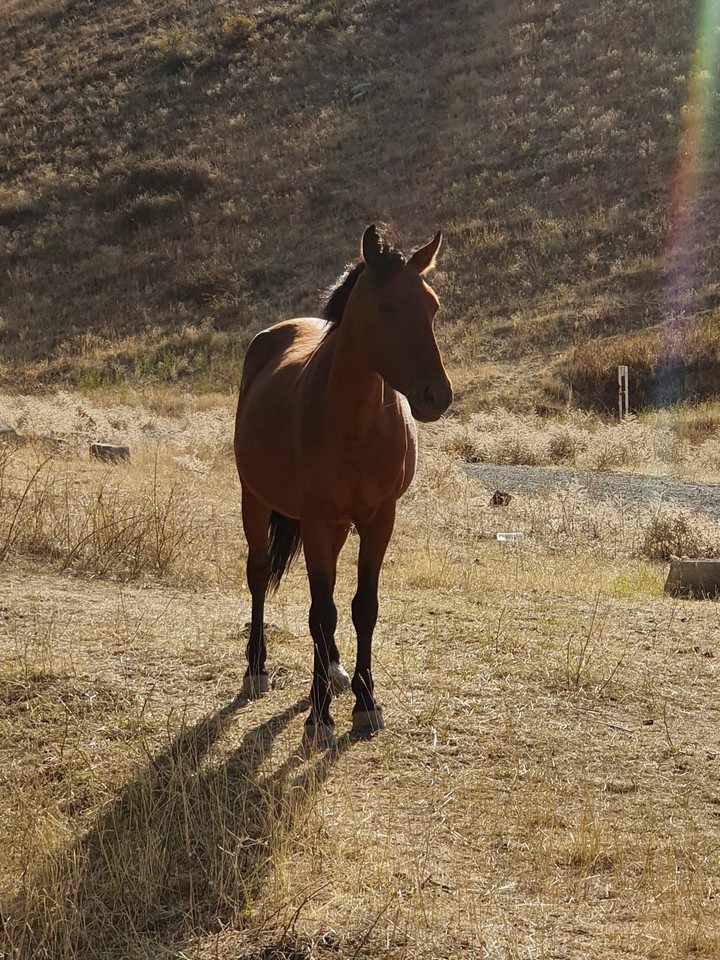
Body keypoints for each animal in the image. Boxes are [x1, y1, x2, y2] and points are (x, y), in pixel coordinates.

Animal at [233, 224, 453, 748]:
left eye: (432, 306)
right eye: (389, 307)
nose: (437, 395)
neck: (355, 423)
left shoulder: (378, 520)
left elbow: (361, 607)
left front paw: (365, 701)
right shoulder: (314, 520)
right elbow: (322, 612)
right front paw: (319, 716)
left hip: (335, 527)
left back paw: (333, 669)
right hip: (256, 501)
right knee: (258, 575)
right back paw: (256, 669)